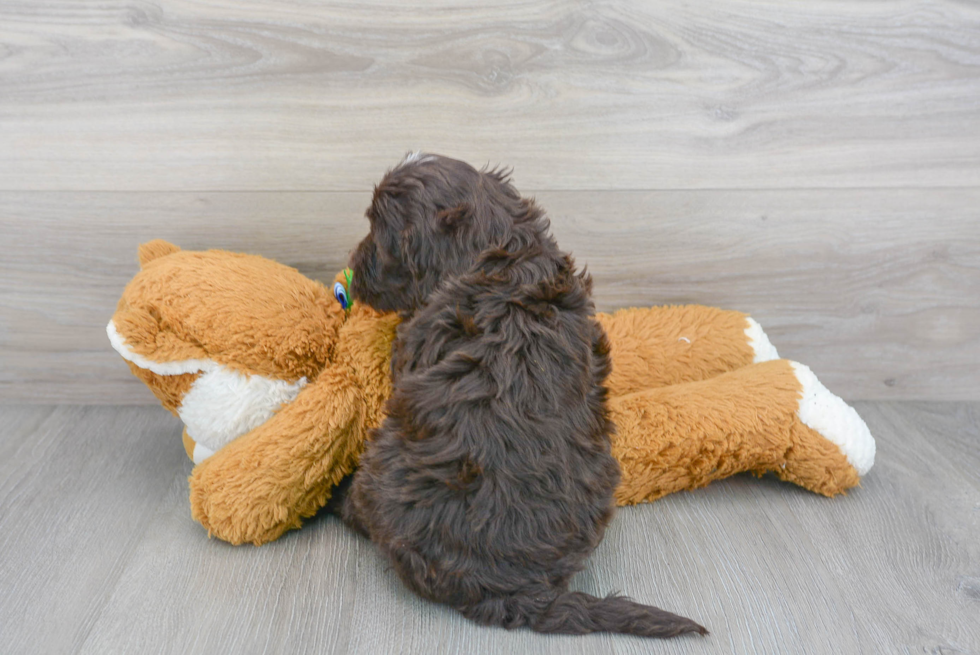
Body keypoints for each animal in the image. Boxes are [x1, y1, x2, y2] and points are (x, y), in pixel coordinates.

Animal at [342, 151, 704, 640]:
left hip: (385, 460)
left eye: (378, 234)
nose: (354, 267)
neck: (499, 248)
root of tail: (511, 592)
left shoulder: (417, 339)